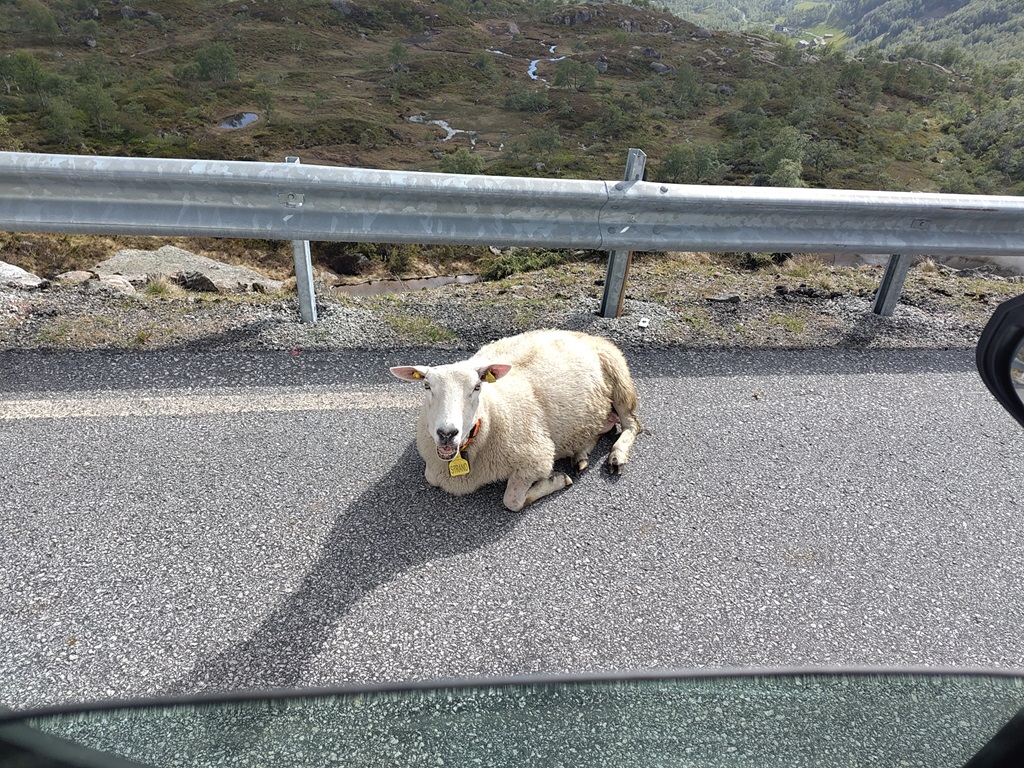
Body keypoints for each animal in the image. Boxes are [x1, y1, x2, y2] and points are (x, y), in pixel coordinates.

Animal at [391, 329, 638, 514]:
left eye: (477, 387)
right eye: (426, 386)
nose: (447, 433)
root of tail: (578, 333)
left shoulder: (536, 458)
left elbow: (512, 500)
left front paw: (556, 480)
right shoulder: (433, 466)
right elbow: (430, 477)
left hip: (620, 377)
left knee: (632, 425)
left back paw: (617, 456)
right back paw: (580, 455)